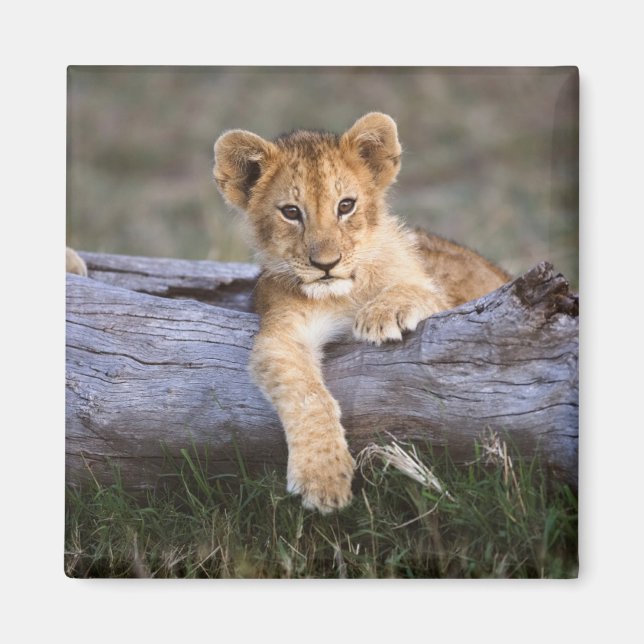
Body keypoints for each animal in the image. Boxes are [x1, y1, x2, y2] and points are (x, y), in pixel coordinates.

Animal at [214, 112, 509, 513]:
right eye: (291, 212)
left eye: (345, 206)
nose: (326, 264)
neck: (342, 294)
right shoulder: (281, 333)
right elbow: (308, 395)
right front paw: (322, 478)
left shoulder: (445, 299)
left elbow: (419, 289)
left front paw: (382, 314)